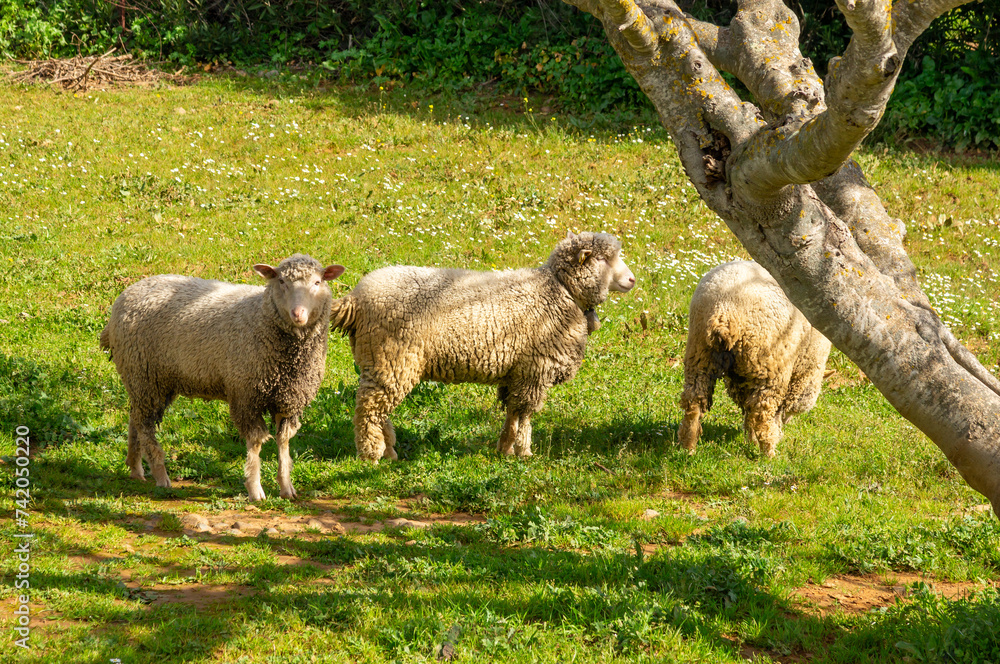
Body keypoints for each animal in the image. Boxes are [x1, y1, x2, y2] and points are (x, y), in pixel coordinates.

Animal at [99, 254, 346, 501]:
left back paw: (135, 467)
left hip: (149, 381)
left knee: (135, 418)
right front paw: (255, 488)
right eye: (282, 281)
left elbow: (284, 440)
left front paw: (286, 487)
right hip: (143, 374)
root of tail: (129, 292)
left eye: (317, 282)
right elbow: (256, 441)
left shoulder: (289, 399)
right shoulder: (246, 394)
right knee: (145, 426)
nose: (298, 314)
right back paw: (160, 475)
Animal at [329, 231, 635, 461]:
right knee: (369, 409)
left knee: (379, 408)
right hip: (392, 356)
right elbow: (525, 415)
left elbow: (513, 412)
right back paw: (372, 453)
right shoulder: (535, 370)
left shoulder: (517, 373)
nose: (632, 279)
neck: (561, 291)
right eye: (606, 259)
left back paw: (389, 449)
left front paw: (505, 448)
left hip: (379, 361)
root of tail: (356, 299)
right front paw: (524, 452)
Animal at [678, 260, 831, 457]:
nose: (788, 421)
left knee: (693, 402)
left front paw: (751, 440)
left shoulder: (742, 377)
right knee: (761, 415)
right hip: (769, 366)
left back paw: (688, 447)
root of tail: (724, 311)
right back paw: (769, 454)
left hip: (700, 354)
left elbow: (747, 409)